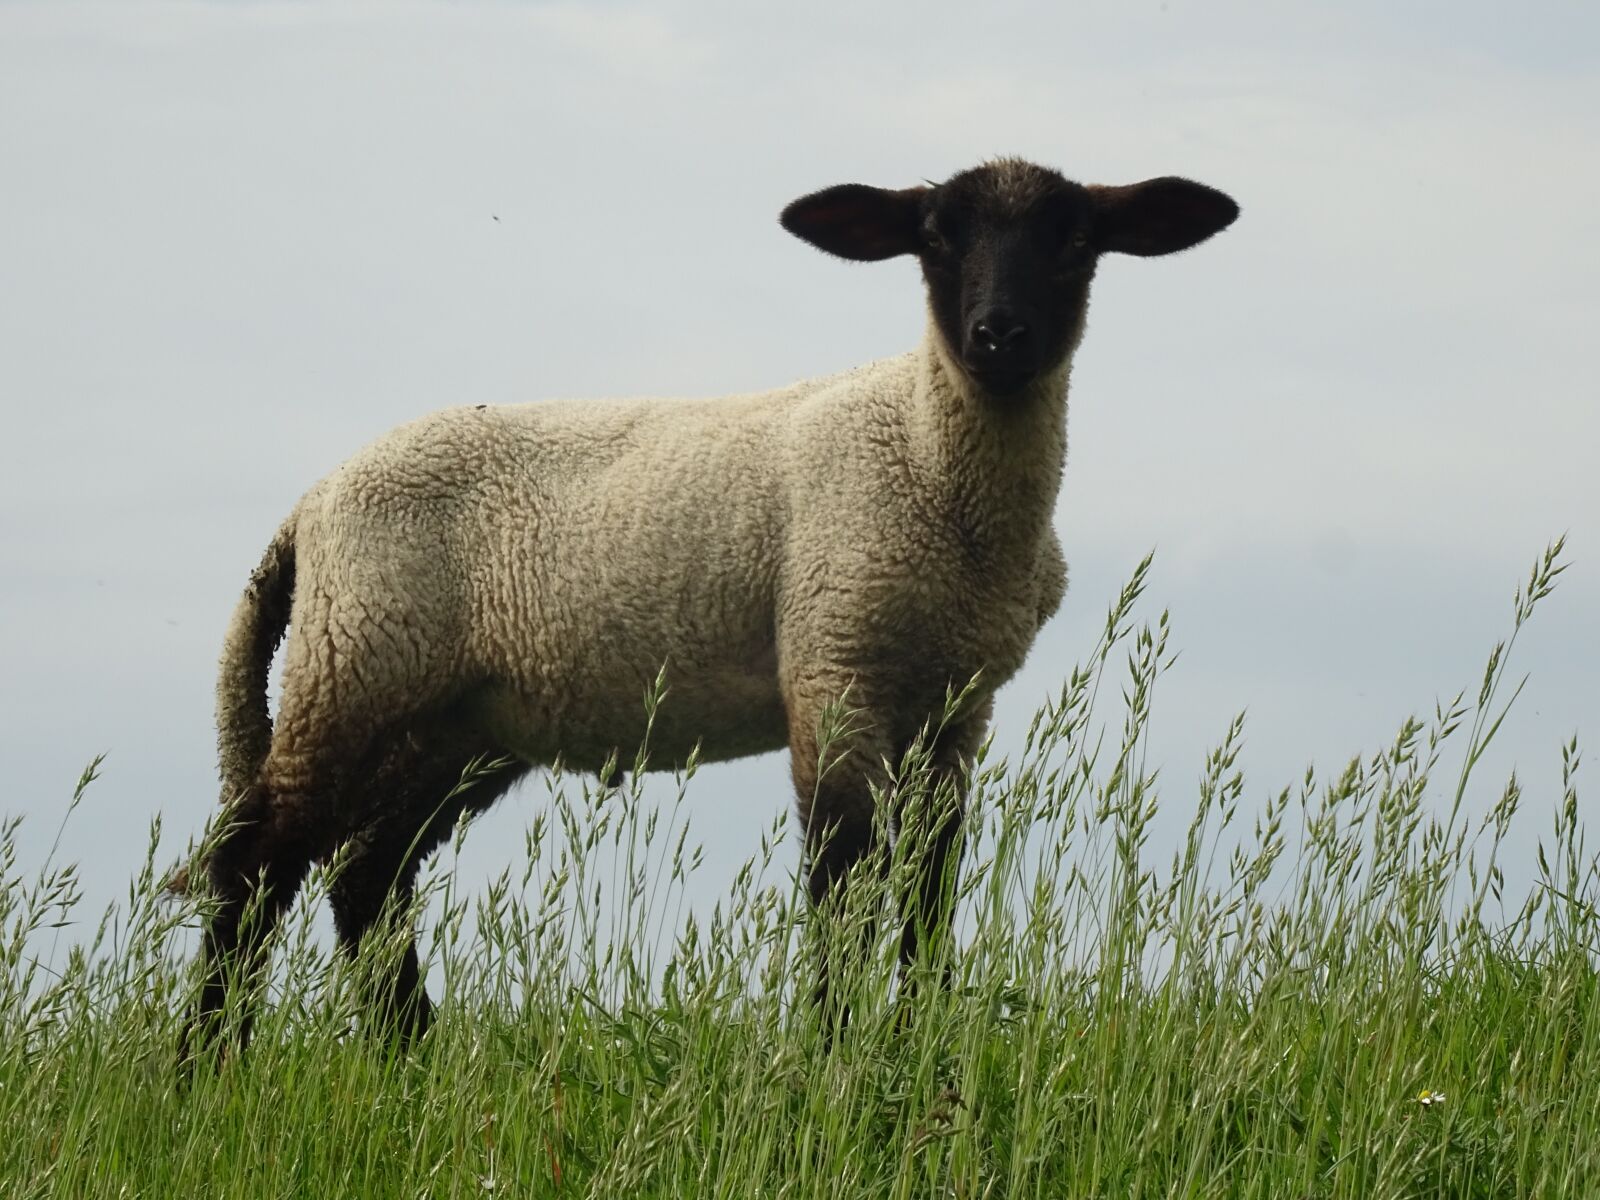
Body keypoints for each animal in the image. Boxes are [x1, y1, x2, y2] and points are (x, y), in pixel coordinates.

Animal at [181, 157, 1238, 1058]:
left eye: (1075, 240)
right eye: (936, 238)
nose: (1000, 336)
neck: (928, 454)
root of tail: (310, 506)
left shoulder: (956, 702)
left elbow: (929, 887)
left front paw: (921, 1043)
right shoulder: (833, 656)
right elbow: (842, 878)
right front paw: (835, 1058)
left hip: (455, 722)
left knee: (365, 872)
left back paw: (413, 1061)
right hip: (357, 662)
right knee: (258, 860)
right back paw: (205, 1068)